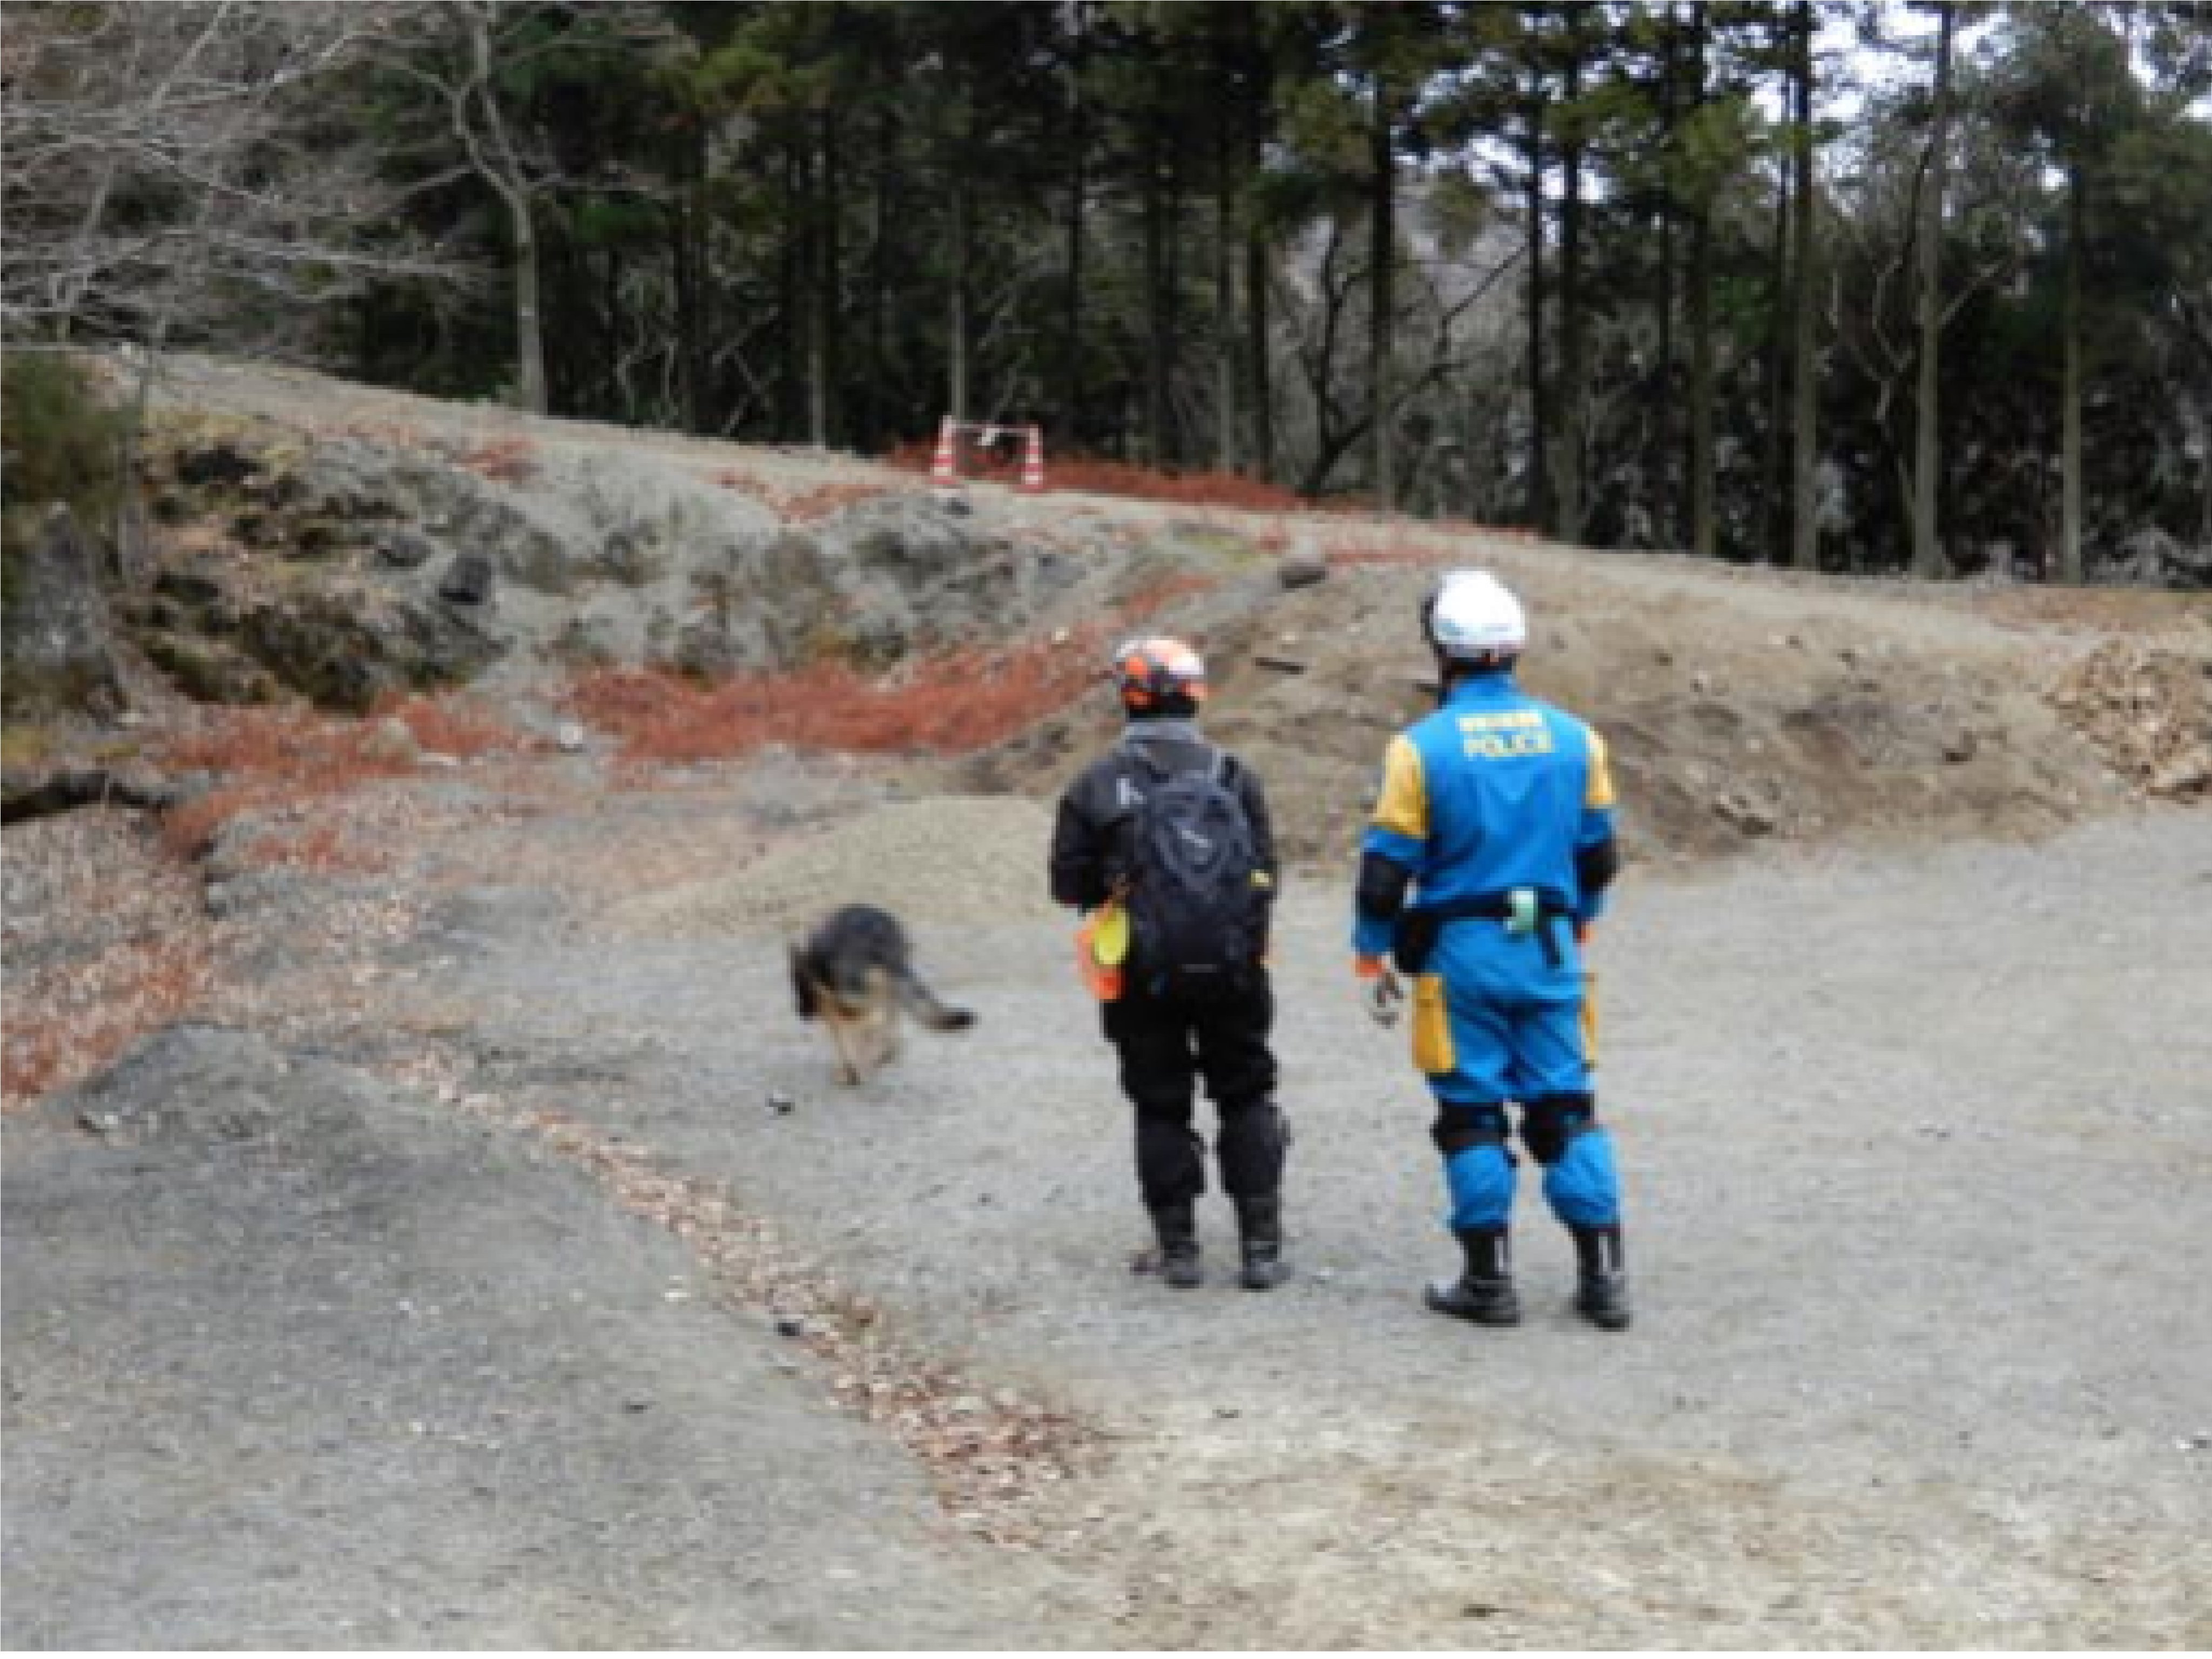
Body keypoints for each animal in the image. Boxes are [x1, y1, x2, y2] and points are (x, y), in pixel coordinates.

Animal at [787, 902, 977, 1084]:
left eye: (798, 988)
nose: (801, 1013)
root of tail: (879, 941)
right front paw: (853, 1070)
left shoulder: (837, 1006)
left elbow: (849, 1039)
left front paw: (854, 1071)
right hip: (889, 988)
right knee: (889, 1021)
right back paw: (886, 1054)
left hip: (864, 994)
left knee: (875, 1021)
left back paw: (874, 1058)